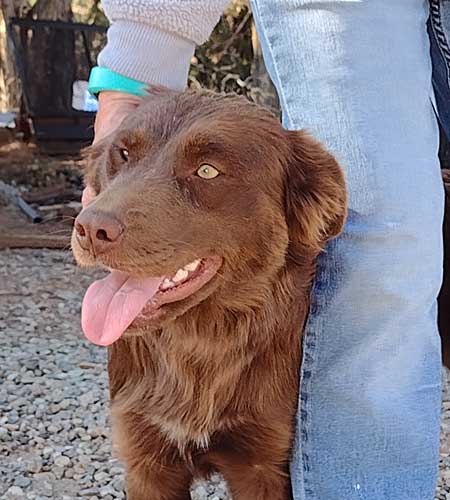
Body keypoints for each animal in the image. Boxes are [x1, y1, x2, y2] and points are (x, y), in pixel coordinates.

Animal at [71, 90, 348, 500]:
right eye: (123, 154)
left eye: (207, 171)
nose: (90, 229)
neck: (199, 344)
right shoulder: (146, 460)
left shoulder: (264, 465)